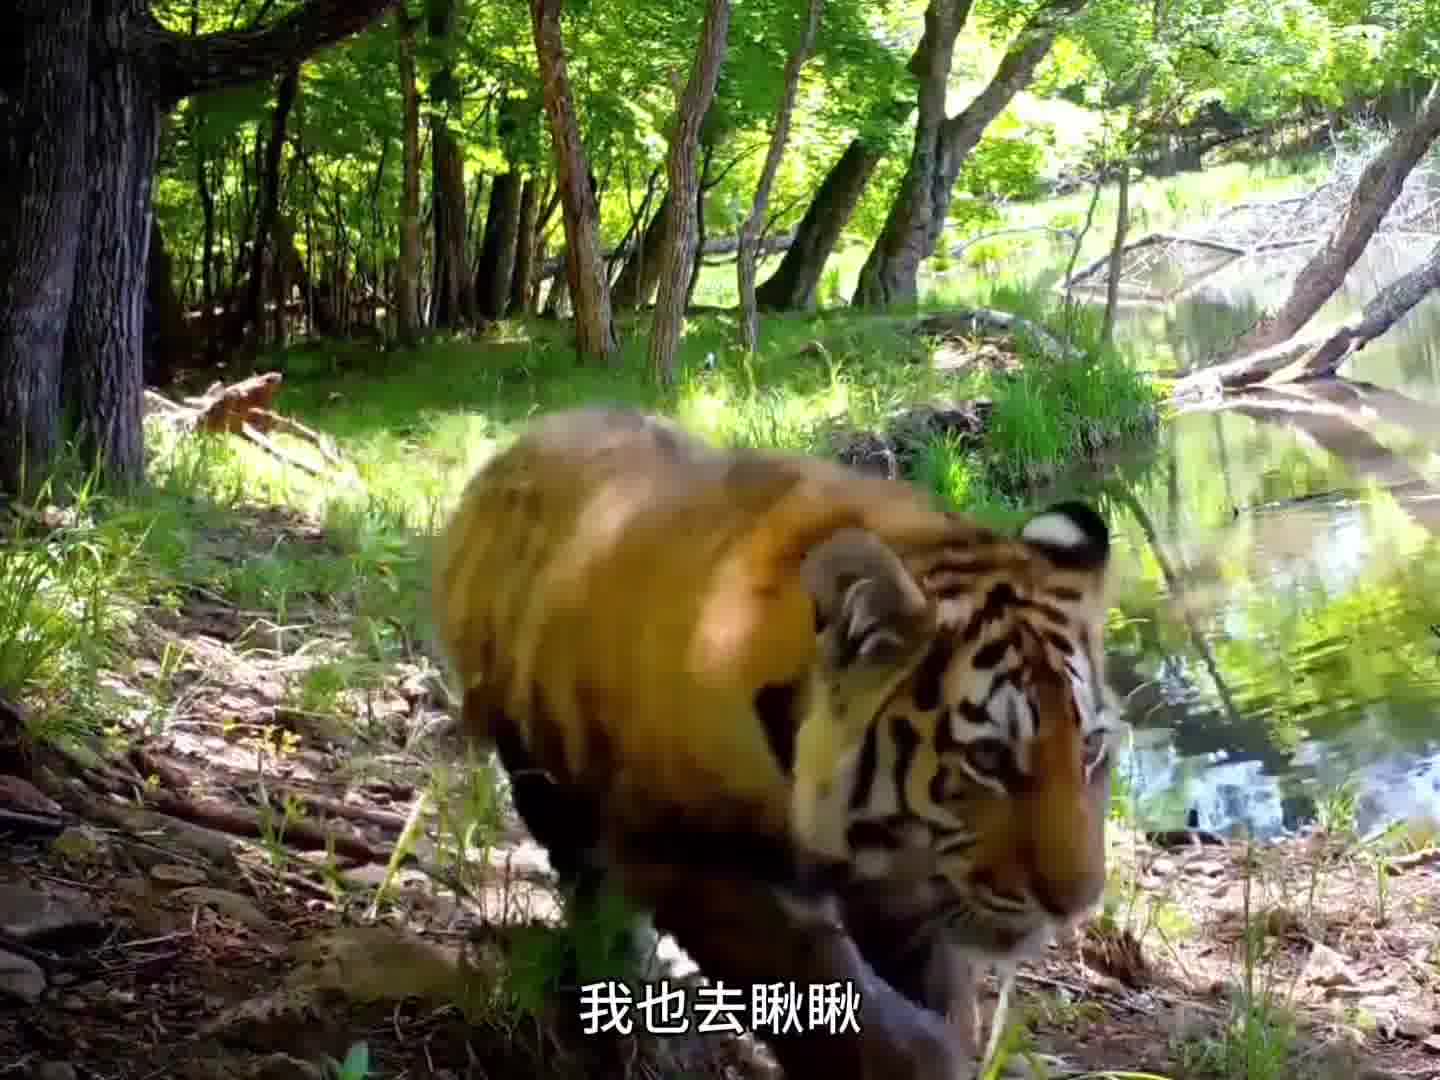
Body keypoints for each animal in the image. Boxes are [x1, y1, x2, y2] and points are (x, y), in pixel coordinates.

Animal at [430, 405, 1122, 1080]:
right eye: (987, 759)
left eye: (1091, 751)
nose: (1075, 904)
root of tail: (515, 446)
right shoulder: (683, 854)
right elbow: (816, 976)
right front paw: (913, 1058)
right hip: (537, 763)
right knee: (586, 879)